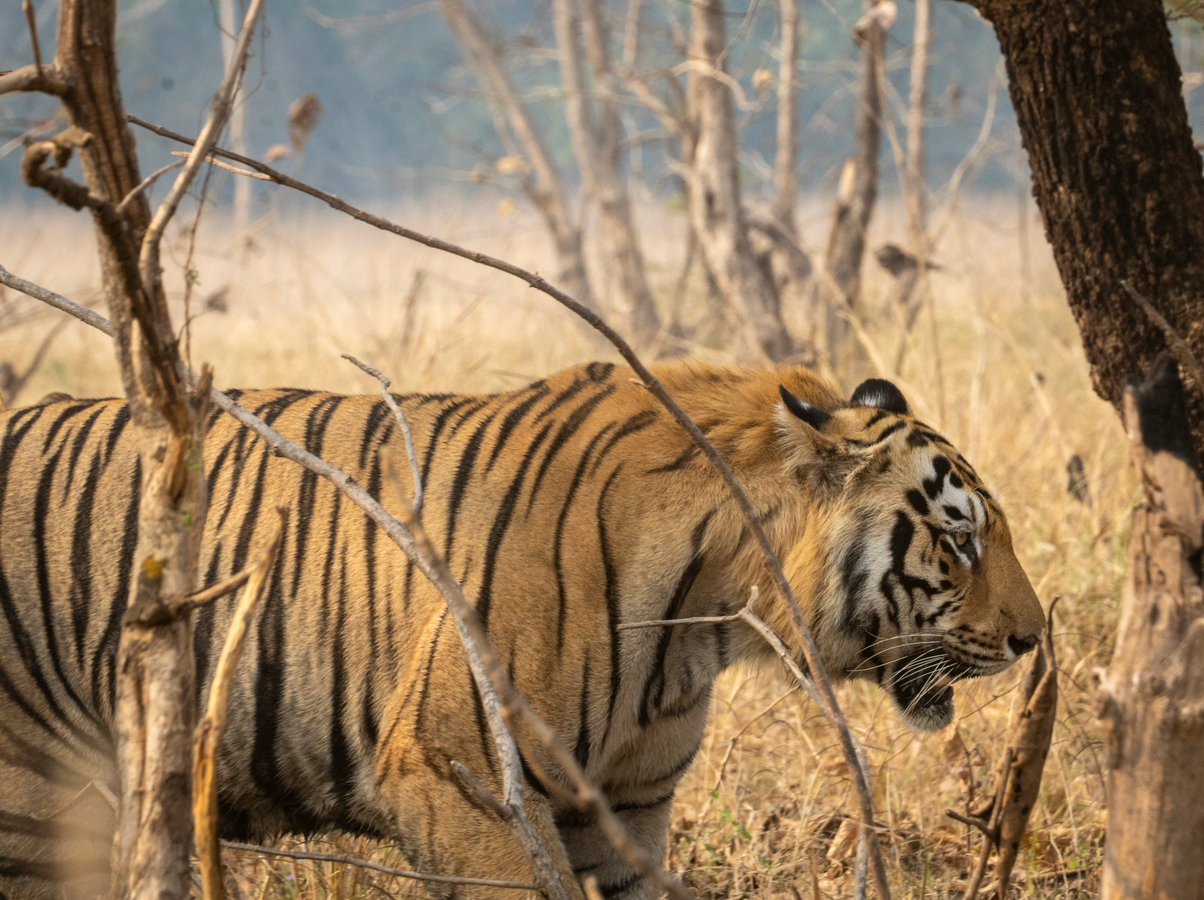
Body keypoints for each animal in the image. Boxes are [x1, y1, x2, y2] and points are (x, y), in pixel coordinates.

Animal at [0, 360, 1044, 900]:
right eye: (960, 538)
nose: (1034, 638)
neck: (702, 621)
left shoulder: (621, 806)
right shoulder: (459, 777)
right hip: (34, 800)